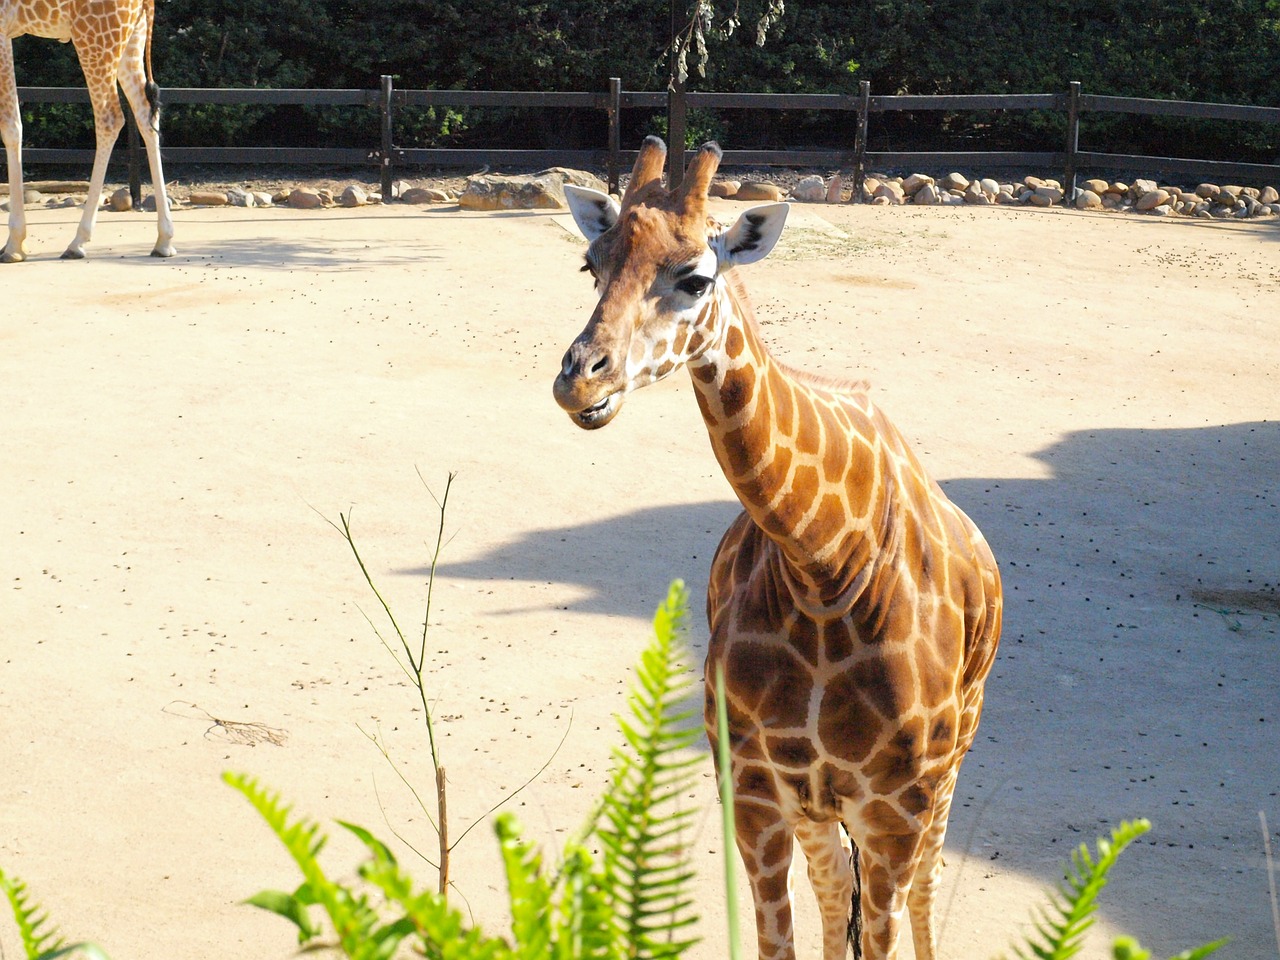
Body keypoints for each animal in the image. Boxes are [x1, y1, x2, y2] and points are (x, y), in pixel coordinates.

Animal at [1, 0, 174, 259]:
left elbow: (11, 126)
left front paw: (14, 245)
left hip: (95, 38)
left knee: (110, 117)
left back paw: (77, 242)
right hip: (133, 36)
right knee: (145, 113)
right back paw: (164, 240)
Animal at [555, 136, 1003, 960]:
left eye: (695, 276)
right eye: (590, 265)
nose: (580, 382)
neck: (825, 565)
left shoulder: (896, 804)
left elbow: (886, 926)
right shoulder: (754, 788)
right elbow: (784, 936)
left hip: (955, 754)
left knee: (924, 887)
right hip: (820, 806)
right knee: (833, 899)